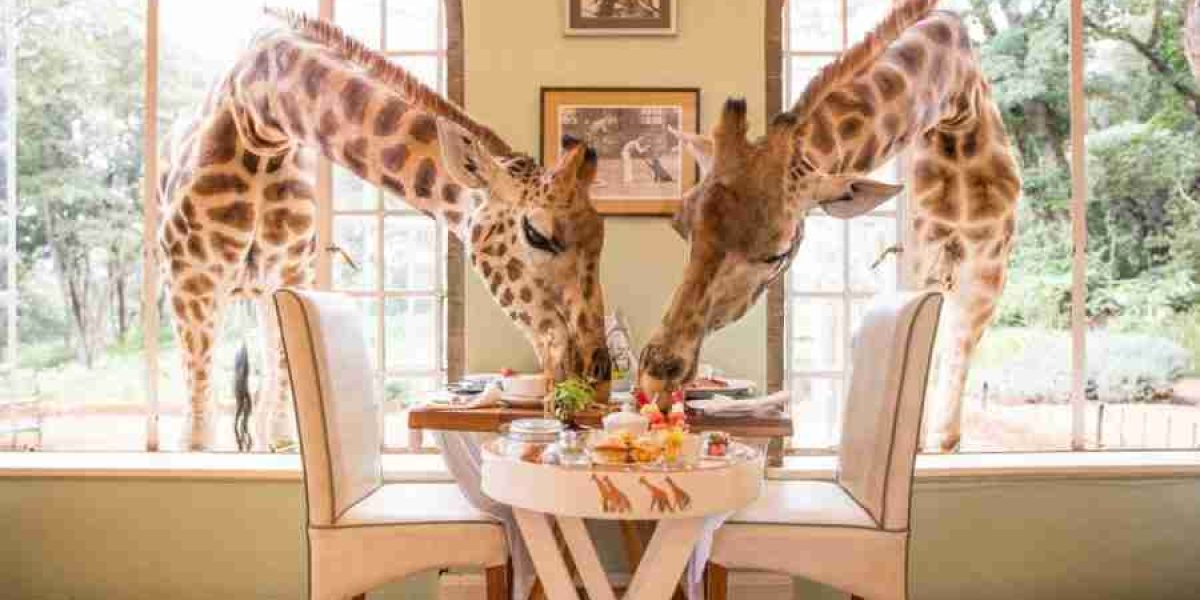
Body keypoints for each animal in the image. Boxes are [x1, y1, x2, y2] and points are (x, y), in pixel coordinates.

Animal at [159, 11, 611, 451]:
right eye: (537, 234)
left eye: (601, 237)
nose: (599, 379)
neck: (261, 120)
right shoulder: (191, 279)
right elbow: (197, 430)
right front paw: (196, 442)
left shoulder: (291, 274)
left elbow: (281, 390)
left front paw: (280, 438)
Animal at [637, 1, 1021, 452]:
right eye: (681, 225)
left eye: (778, 253)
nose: (656, 374)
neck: (956, 102)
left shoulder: (977, 275)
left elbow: (945, 426)